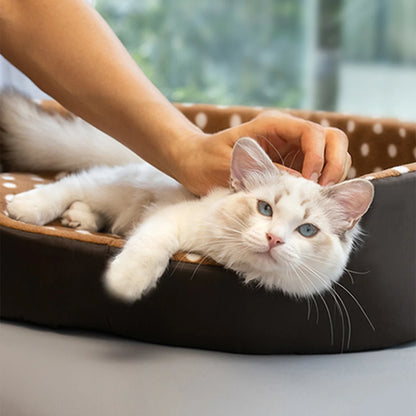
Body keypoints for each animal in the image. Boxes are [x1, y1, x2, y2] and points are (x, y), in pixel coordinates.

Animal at [0, 92, 376, 302]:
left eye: (307, 231)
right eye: (265, 209)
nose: (273, 239)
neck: (226, 256)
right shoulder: (172, 219)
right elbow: (147, 249)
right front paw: (124, 284)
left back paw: (80, 217)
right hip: (115, 185)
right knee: (71, 184)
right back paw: (26, 207)